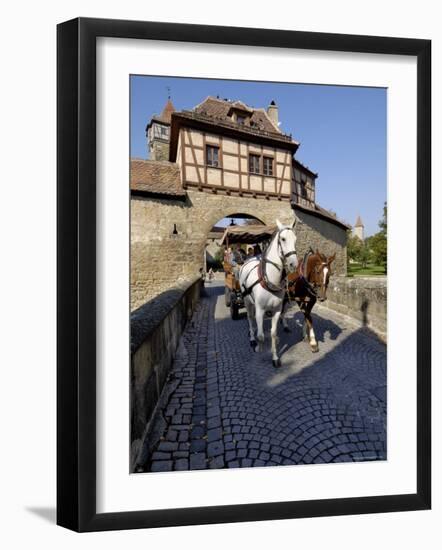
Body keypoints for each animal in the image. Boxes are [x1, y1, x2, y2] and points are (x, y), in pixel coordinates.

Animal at [240, 221, 298, 370]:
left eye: (295, 239)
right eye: (283, 239)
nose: (294, 264)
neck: (269, 279)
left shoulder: (277, 309)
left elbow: (272, 333)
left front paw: (275, 357)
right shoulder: (260, 309)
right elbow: (261, 335)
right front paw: (259, 349)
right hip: (247, 300)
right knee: (250, 317)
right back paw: (252, 338)